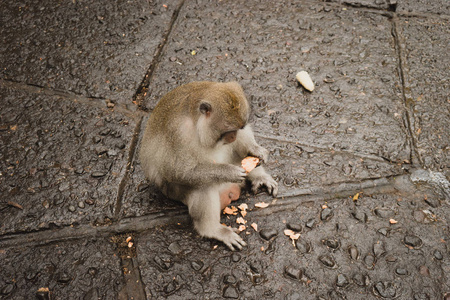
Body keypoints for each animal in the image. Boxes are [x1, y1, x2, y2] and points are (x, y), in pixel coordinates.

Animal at [139, 81, 278, 250]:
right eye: (228, 131)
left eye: (238, 128)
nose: (233, 137)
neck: (196, 122)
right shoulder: (177, 133)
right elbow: (178, 171)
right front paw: (228, 172)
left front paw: (256, 150)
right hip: (175, 193)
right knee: (204, 185)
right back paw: (212, 229)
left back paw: (259, 176)